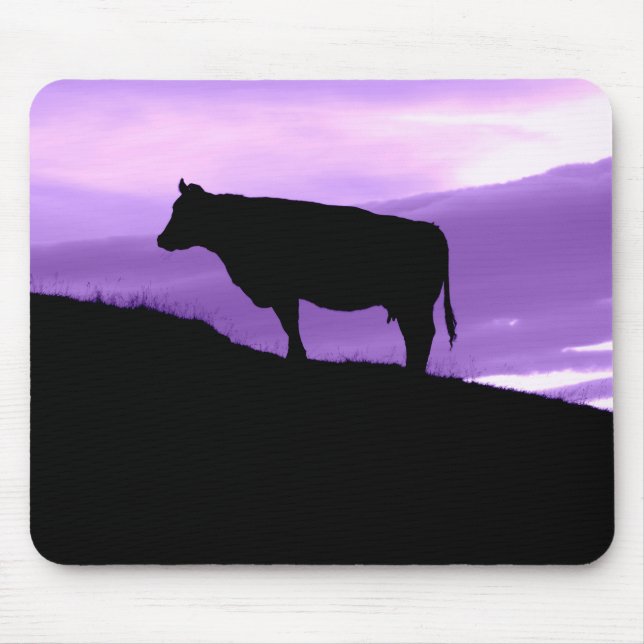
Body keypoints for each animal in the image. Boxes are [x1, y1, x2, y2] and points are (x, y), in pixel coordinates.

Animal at [158, 179, 456, 372]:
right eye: (174, 208)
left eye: (184, 211)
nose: (161, 239)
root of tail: (432, 228)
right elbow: (290, 323)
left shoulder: (283, 291)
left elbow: (290, 323)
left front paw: (296, 357)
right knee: (416, 335)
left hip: (414, 302)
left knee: (422, 334)